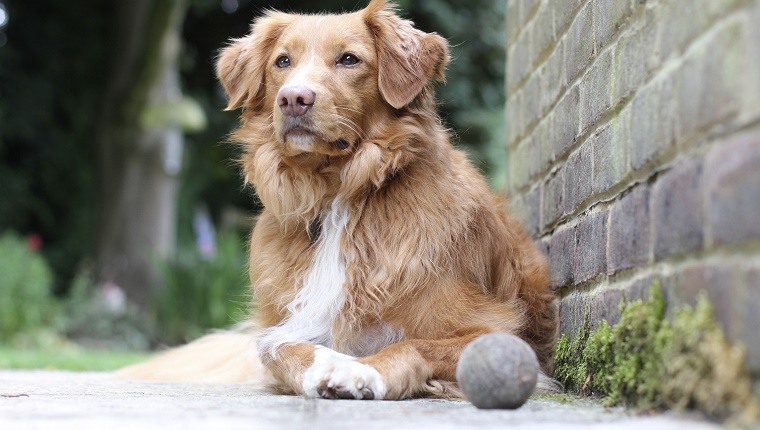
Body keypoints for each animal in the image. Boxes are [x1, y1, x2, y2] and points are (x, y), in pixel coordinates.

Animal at [117, 0, 560, 402]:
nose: (293, 98)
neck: (336, 195)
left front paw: (364, 371)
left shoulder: (496, 328)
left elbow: (414, 343)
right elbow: (276, 347)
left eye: (349, 59)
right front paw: (326, 364)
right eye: (283, 61)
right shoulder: (287, 324)